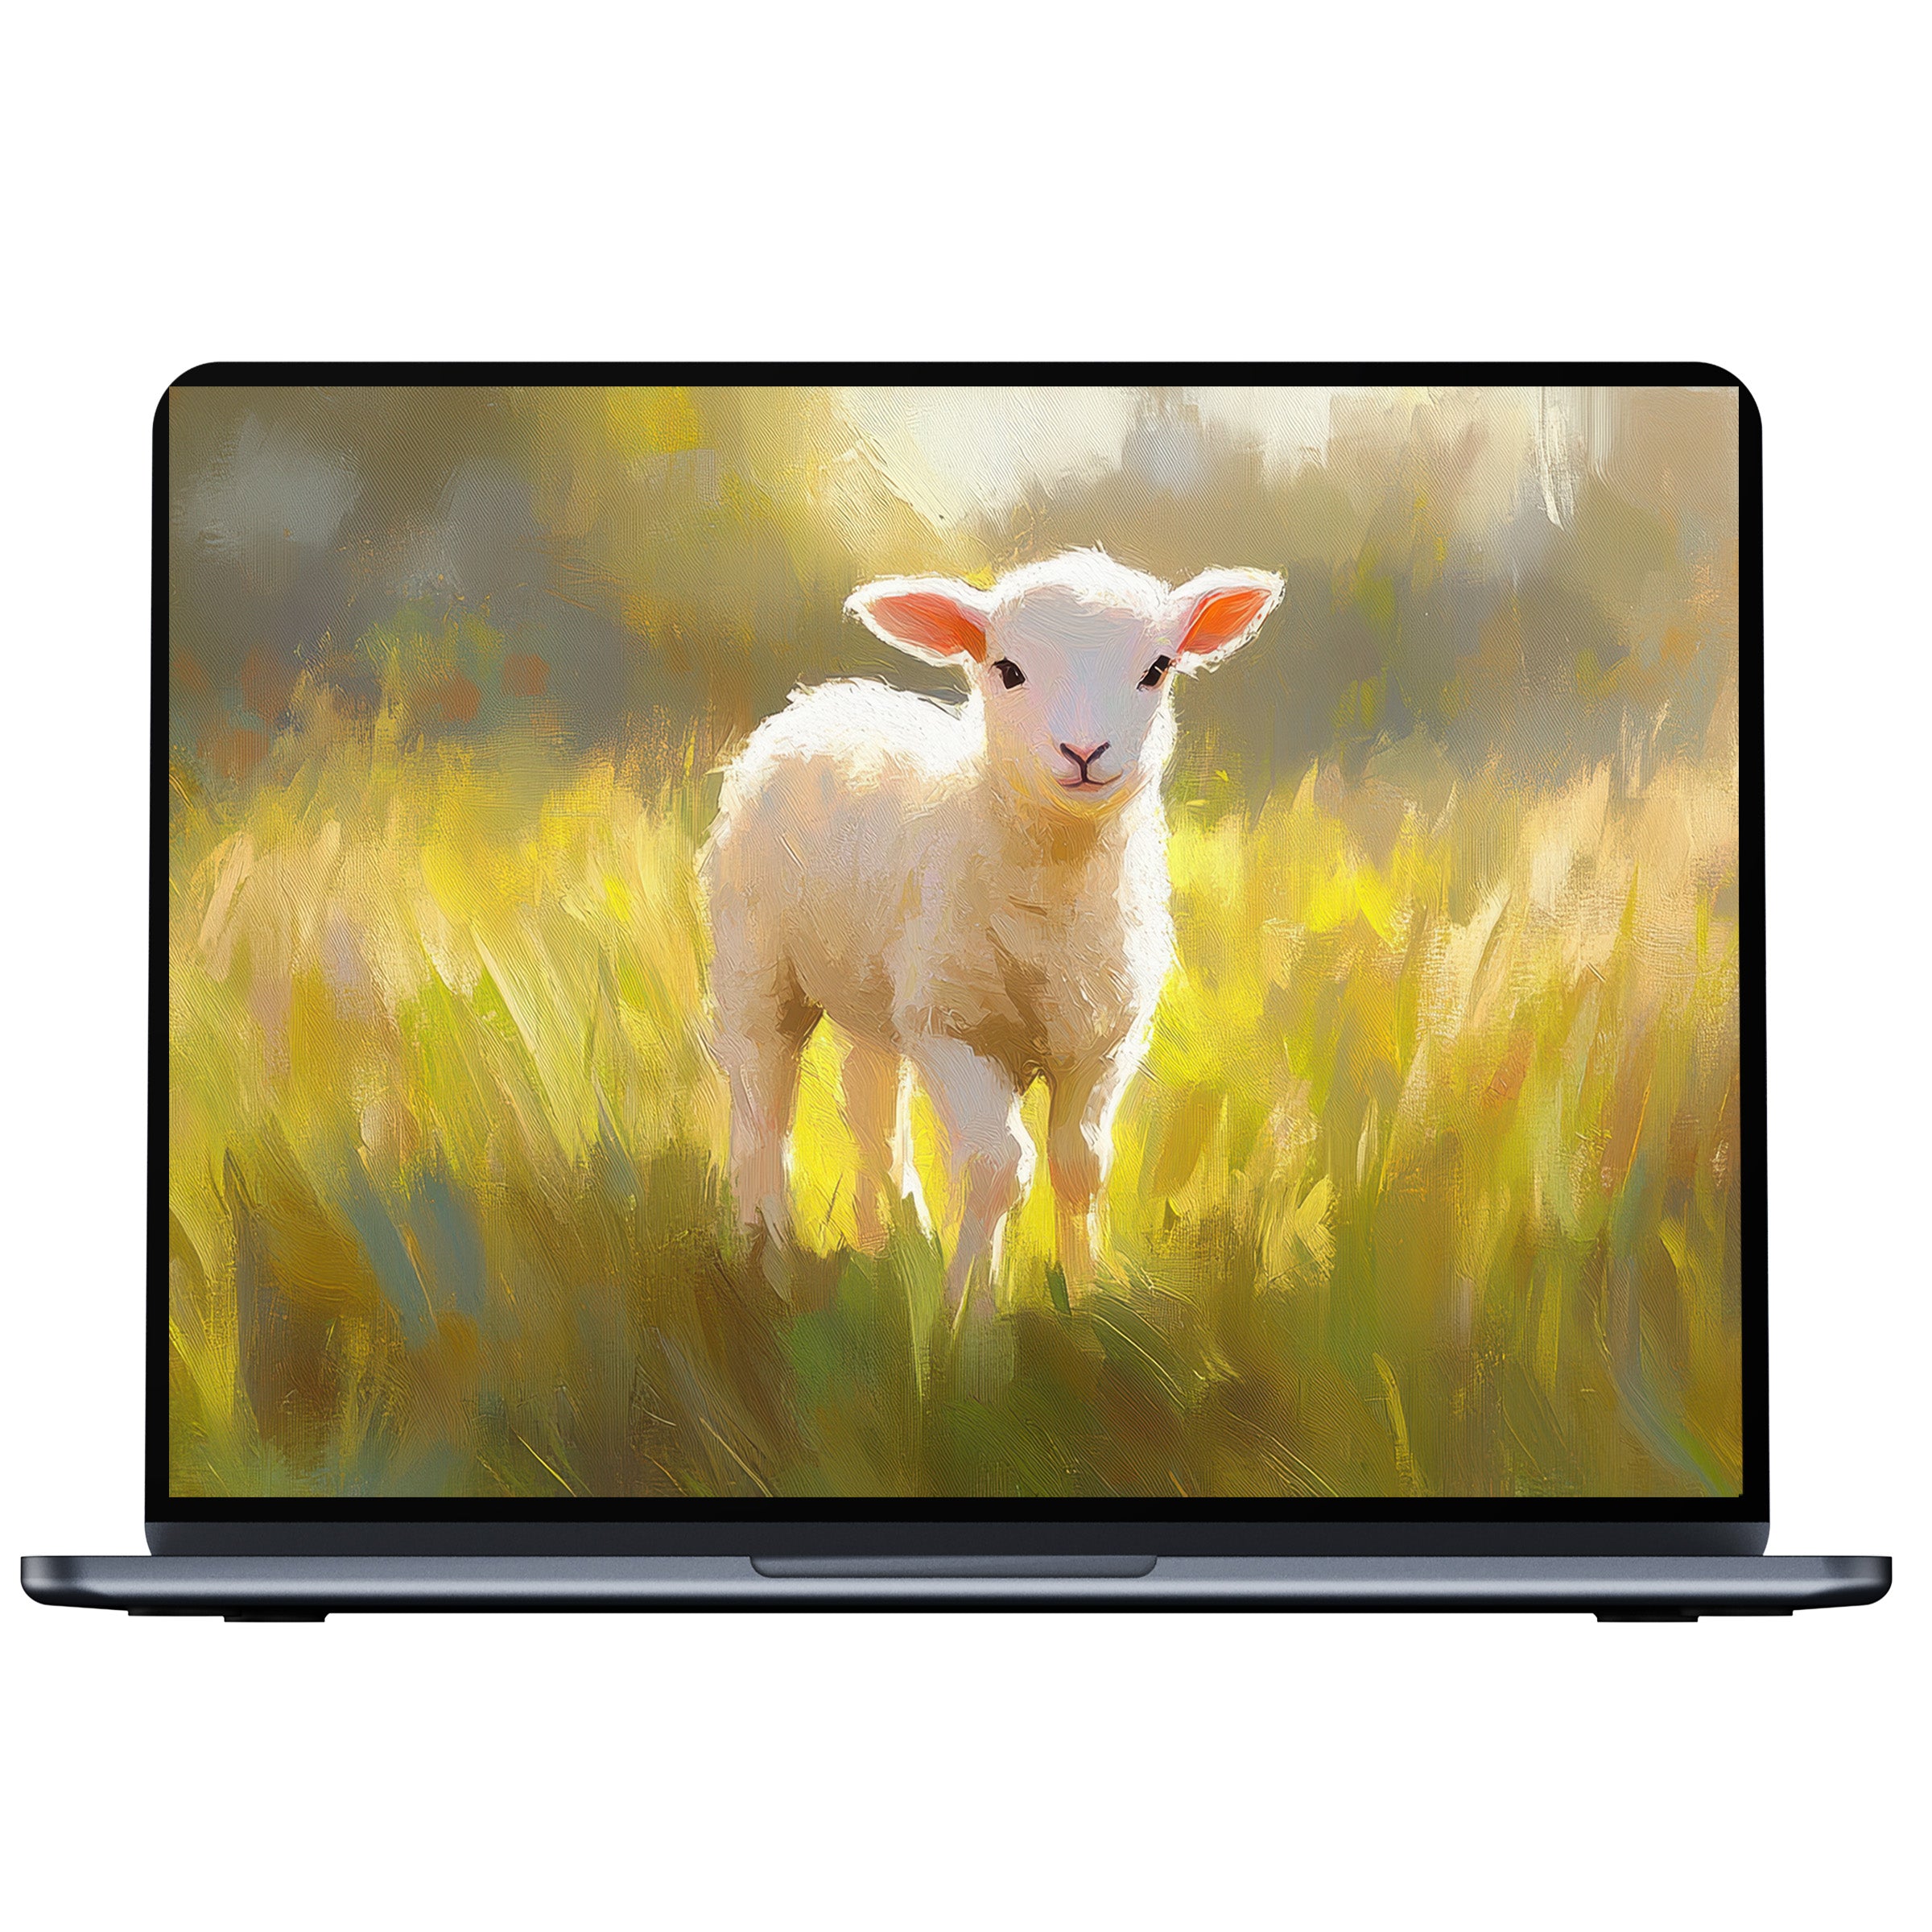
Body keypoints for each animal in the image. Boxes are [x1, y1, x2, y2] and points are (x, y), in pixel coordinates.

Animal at [698, 548, 1283, 1316]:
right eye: (1007, 670)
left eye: (1157, 668)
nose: (1084, 751)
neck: (1053, 899)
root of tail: (827, 697)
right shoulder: (956, 1029)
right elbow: (998, 1166)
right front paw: (967, 1313)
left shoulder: (1103, 1038)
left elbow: (1082, 1164)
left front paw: (1085, 1298)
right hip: (757, 957)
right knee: (763, 1100)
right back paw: (765, 1249)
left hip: (878, 992)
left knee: (871, 1108)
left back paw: (892, 1239)